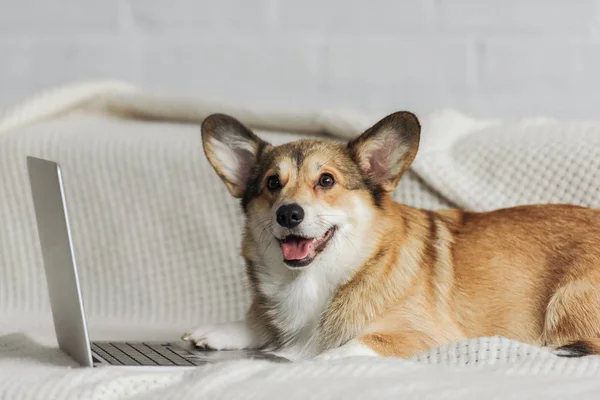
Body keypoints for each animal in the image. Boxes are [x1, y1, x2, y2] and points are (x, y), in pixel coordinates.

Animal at [183, 111, 600, 360]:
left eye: (326, 181)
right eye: (272, 183)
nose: (289, 214)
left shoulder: (417, 335)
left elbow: (343, 348)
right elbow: (258, 325)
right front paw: (221, 331)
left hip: (567, 300)